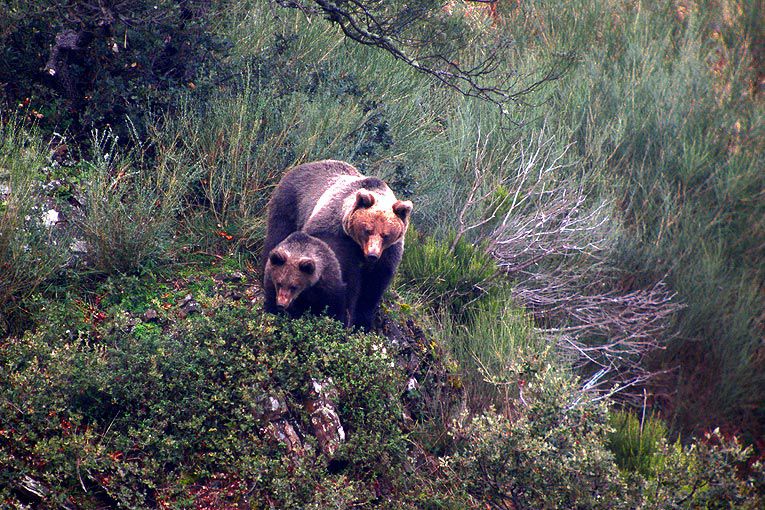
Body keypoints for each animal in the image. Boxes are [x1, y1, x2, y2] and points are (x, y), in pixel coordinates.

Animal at [266, 159, 414, 328]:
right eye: (367, 230)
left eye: (386, 235)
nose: (372, 254)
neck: (357, 244)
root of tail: (307, 164)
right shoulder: (334, 233)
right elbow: (345, 277)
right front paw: (347, 316)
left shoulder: (389, 253)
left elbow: (373, 286)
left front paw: (362, 322)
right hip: (289, 202)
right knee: (278, 233)